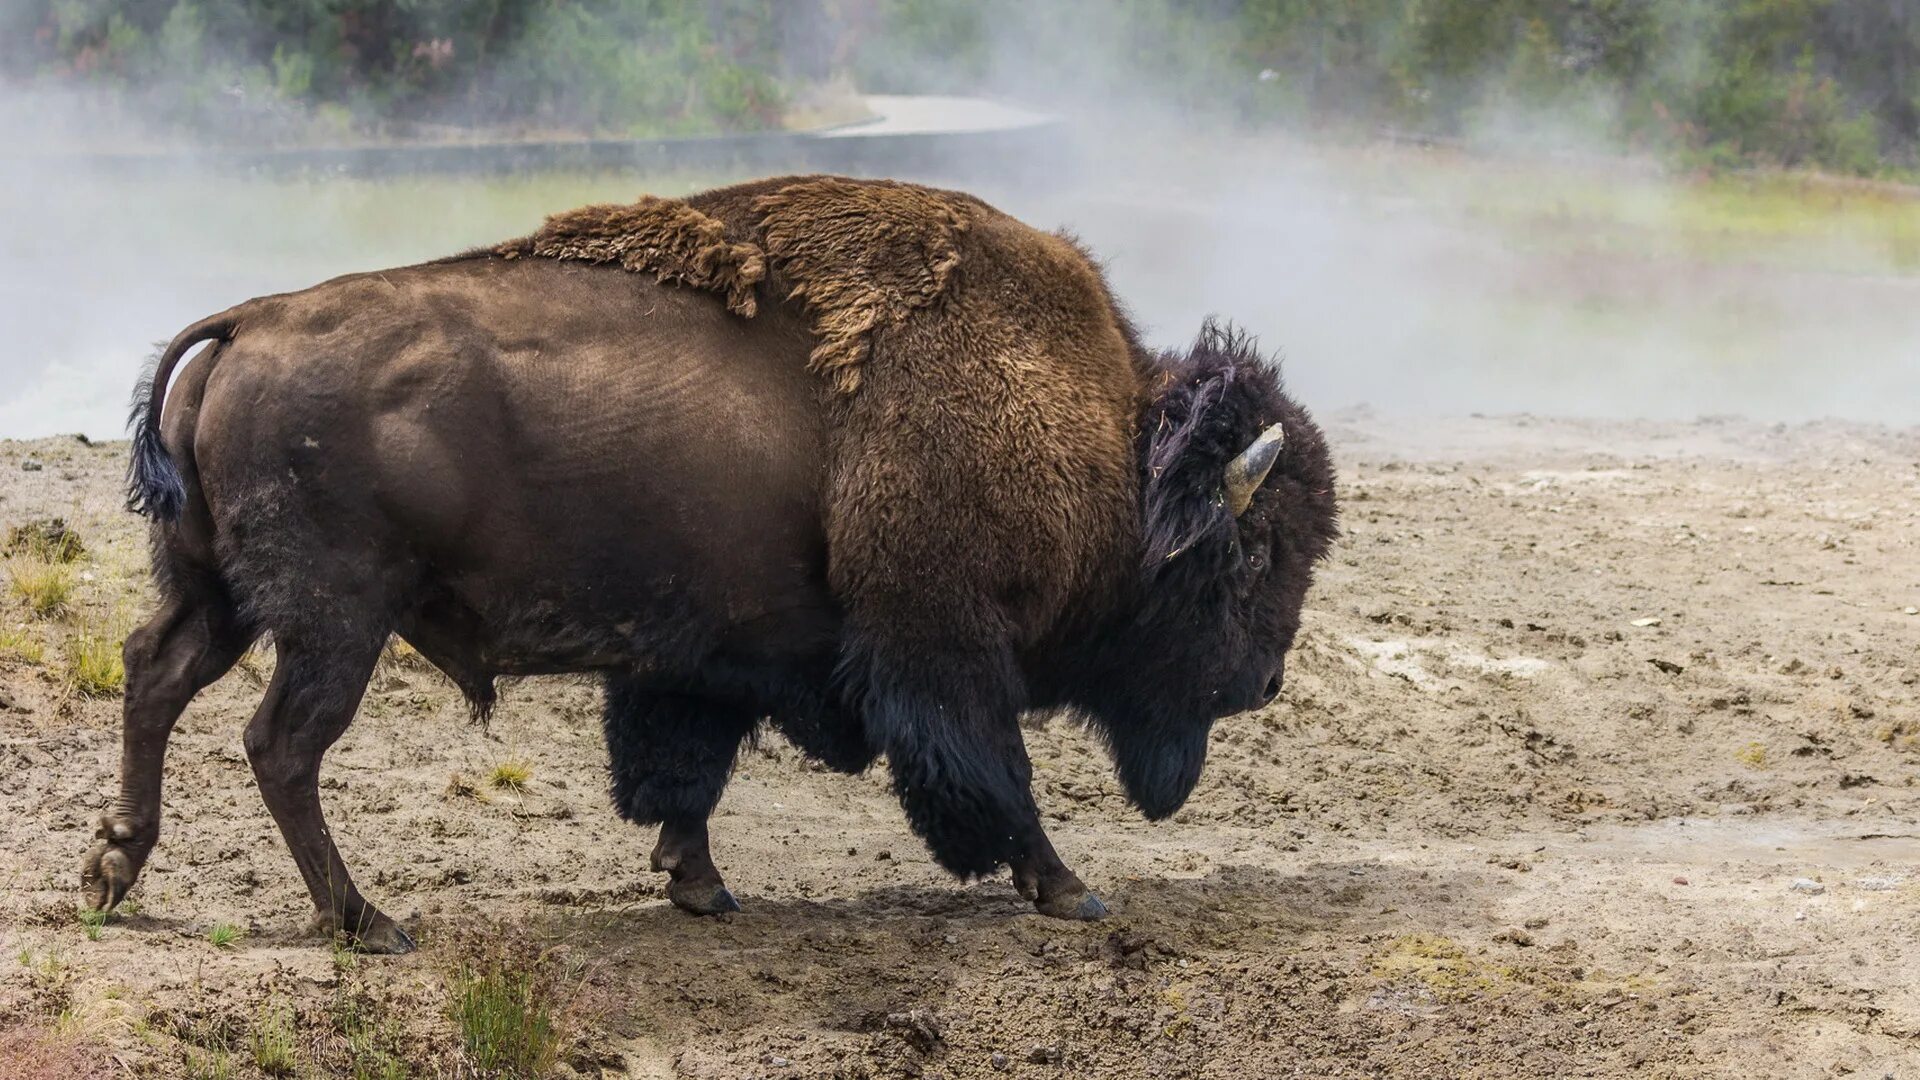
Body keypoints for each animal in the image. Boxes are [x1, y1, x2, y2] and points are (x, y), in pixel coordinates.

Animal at [86, 176, 1336, 949]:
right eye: (1253, 555)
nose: (1266, 680)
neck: (1104, 445)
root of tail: (248, 323)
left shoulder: (708, 659)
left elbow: (683, 772)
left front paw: (701, 888)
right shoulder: (943, 651)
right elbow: (995, 779)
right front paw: (1073, 893)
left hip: (220, 598)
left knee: (154, 678)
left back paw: (112, 871)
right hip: (335, 621)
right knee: (279, 745)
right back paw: (371, 924)